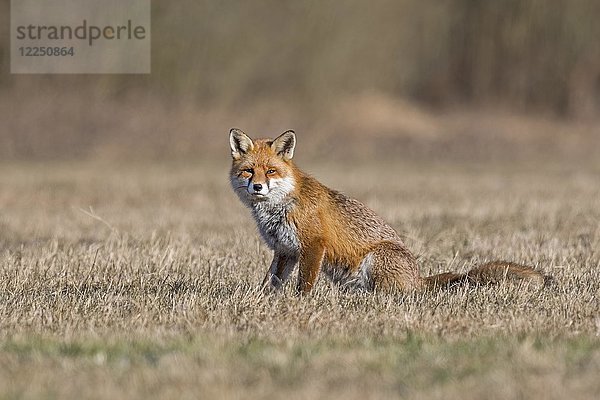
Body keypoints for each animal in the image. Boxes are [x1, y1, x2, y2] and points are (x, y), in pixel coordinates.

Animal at [229, 129, 548, 294]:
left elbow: (303, 285)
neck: (280, 206)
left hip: (377, 258)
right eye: (249, 171)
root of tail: (419, 280)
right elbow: (271, 282)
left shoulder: (313, 245)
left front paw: (299, 305)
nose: (257, 186)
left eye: (271, 171)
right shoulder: (285, 250)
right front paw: (265, 301)